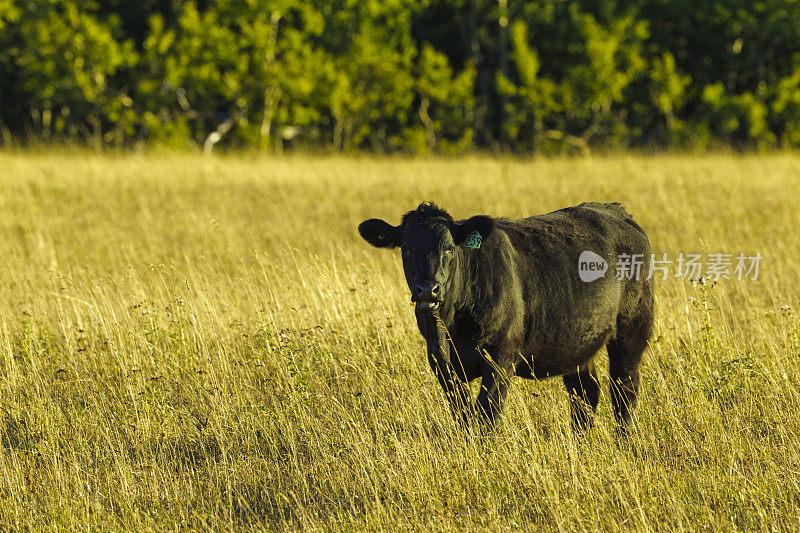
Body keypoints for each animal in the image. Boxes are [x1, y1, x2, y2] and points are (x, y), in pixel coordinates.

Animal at [360, 202, 652, 430]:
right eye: (406, 248)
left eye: (449, 248)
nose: (427, 289)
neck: (452, 323)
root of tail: (616, 211)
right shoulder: (440, 361)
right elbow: (463, 414)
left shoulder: (501, 355)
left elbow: (487, 414)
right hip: (576, 344)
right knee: (585, 392)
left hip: (632, 328)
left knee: (624, 389)